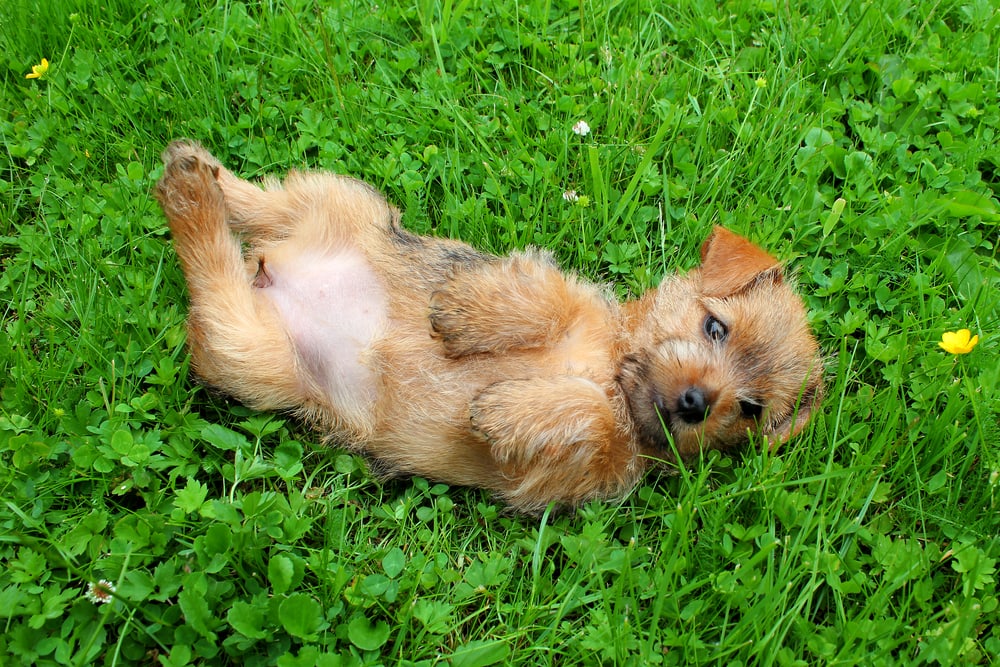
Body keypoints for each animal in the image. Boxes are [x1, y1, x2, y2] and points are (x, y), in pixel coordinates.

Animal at [156, 141, 824, 516]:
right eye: (714, 327)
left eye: (749, 410)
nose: (694, 403)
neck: (611, 373)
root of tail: (271, 266)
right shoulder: (572, 297)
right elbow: (547, 299)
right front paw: (465, 314)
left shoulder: (561, 479)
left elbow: (591, 417)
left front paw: (507, 408)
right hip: (344, 206)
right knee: (264, 202)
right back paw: (197, 172)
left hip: (249, 352)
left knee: (214, 276)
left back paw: (190, 189)